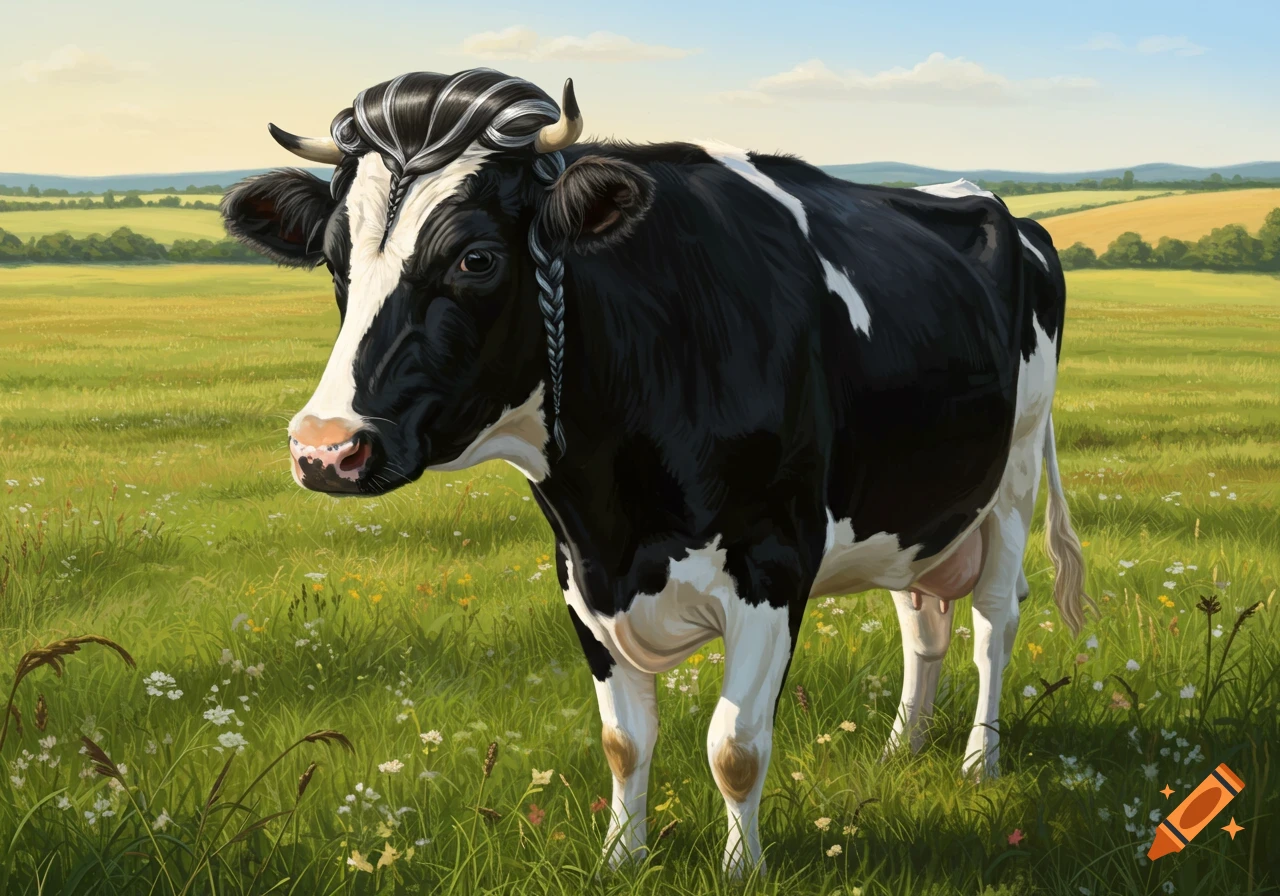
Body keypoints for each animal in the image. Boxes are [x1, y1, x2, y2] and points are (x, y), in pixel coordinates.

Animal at [221, 68, 1092, 876]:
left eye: (475, 258)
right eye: (335, 262)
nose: (326, 448)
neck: (617, 513)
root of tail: (1000, 209)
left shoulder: (774, 563)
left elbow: (735, 744)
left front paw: (743, 871)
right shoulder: (580, 574)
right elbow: (624, 741)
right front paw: (620, 859)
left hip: (1011, 481)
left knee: (993, 626)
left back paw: (980, 763)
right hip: (914, 509)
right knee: (922, 623)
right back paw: (901, 750)